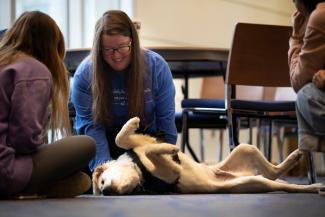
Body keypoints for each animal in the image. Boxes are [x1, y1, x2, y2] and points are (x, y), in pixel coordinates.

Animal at [92, 117, 322, 195]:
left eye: (101, 181)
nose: (106, 191)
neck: (139, 167)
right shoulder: (171, 172)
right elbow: (154, 152)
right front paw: (171, 149)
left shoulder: (144, 142)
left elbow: (121, 138)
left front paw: (133, 123)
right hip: (256, 181)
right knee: (279, 182)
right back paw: (313, 186)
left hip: (245, 147)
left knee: (273, 170)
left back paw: (296, 156)